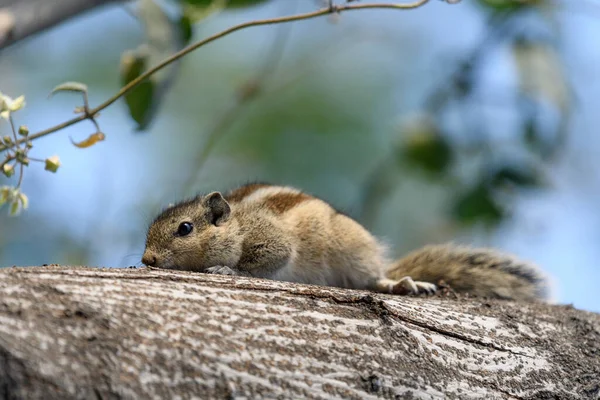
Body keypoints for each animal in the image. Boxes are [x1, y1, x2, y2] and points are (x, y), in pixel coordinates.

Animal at [141, 183, 548, 302]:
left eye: (184, 229)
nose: (147, 260)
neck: (237, 225)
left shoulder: (270, 241)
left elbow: (265, 260)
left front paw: (228, 269)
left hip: (354, 255)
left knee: (374, 279)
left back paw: (398, 283)